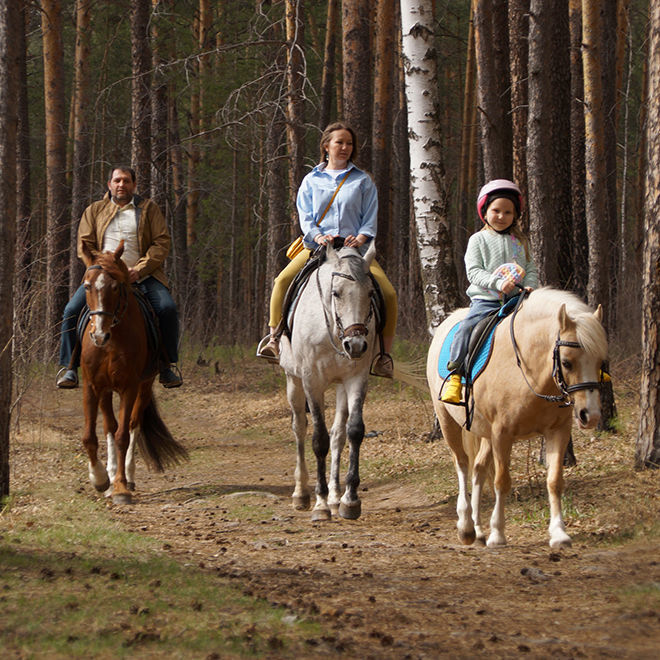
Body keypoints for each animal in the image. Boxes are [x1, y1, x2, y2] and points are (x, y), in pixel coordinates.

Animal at [80, 240, 188, 502]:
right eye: (87, 286)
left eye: (115, 287)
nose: (99, 335)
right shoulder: (91, 385)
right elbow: (90, 436)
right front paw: (100, 479)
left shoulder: (129, 386)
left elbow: (123, 435)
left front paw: (120, 487)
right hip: (105, 389)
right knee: (109, 425)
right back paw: (109, 474)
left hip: (145, 385)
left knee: (132, 424)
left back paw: (127, 476)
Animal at [278, 242, 378, 520]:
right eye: (336, 293)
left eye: (370, 293)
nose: (356, 345)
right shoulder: (312, 381)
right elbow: (319, 439)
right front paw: (320, 503)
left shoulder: (356, 378)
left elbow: (353, 431)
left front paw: (349, 500)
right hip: (293, 381)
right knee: (300, 428)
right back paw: (301, 494)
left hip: (341, 385)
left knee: (338, 435)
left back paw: (335, 497)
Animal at [428, 286, 608, 548]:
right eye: (567, 362)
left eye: (601, 362)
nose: (590, 415)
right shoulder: (502, 433)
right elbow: (502, 481)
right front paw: (498, 534)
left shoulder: (558, 431)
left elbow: (554, 481)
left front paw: (559, 534)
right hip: (447, 421)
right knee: (461, 464)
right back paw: (466, 526)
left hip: (484, 433)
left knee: (478, 468)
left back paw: (478, 530)